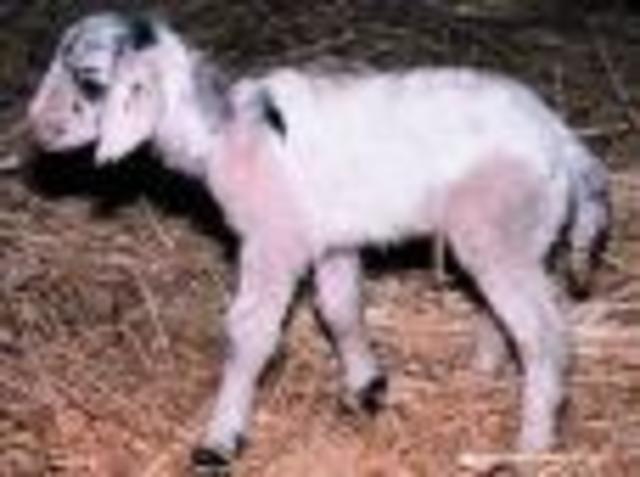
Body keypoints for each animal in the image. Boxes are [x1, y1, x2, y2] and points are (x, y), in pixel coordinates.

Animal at [28, 12, 610, 474]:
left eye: (91, 80)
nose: (39, 131)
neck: (224, 134)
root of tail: (563, 141)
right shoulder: (332, 240)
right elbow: (340, 310)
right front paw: (366, 386)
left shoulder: (273, 240)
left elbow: (249, 334)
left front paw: (219, 440)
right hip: (512, 234)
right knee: (506, 309)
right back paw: (485, 371)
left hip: (498, 229)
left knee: (544, 332)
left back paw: (532, 443)